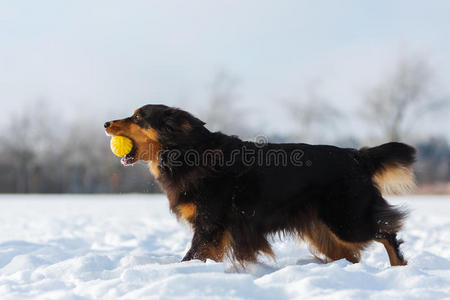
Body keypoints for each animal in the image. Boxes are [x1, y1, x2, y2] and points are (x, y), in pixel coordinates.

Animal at [104, 104, 414, 266]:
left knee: (388, 233)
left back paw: (398, 268)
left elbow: (191, 255)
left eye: (137, 117)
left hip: (347, 220)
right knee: (351, 253)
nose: (106, 123)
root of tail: (357, 156)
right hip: (323, 229)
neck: (185, 150)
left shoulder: (209, 225)